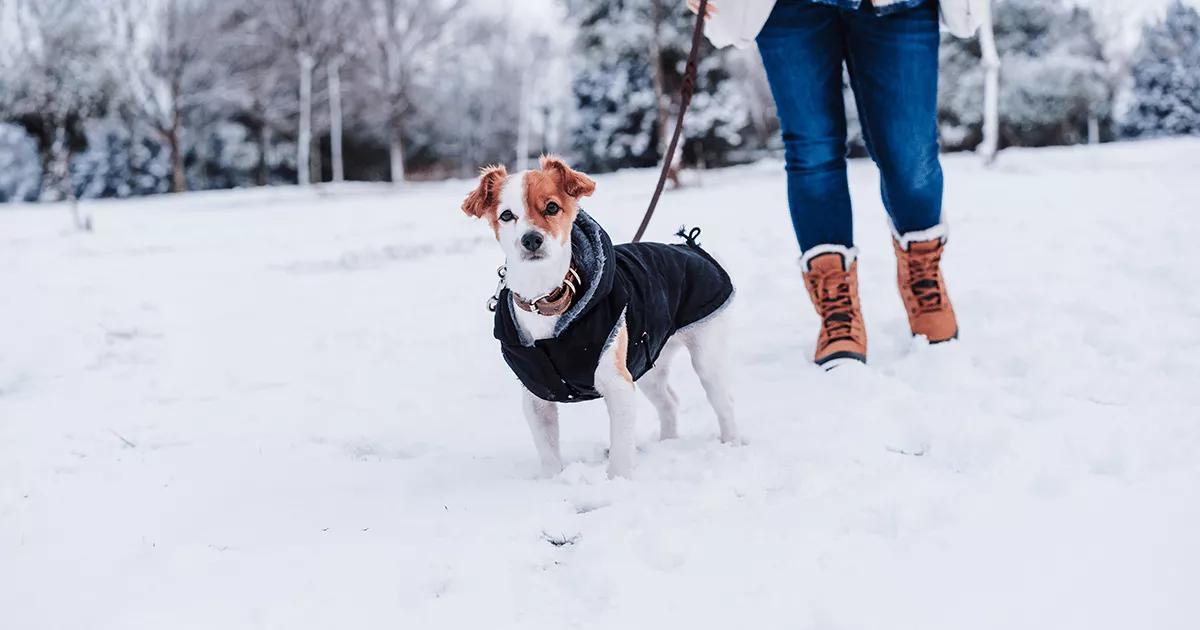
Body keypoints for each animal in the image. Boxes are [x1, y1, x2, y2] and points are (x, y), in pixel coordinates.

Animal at [460, 156, 734, 477]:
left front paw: (618, 481)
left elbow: (621, 452)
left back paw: (732, 443)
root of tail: (691, 248)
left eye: (551, 207)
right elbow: (548, 453)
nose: (531, 239)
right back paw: (667, 442)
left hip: (706, 355)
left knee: (723, 402)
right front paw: (553, 481)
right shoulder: (537, 396)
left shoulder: (618, 386)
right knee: (669, 402)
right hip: (647, 361)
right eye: (506, 215)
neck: (546, 298)